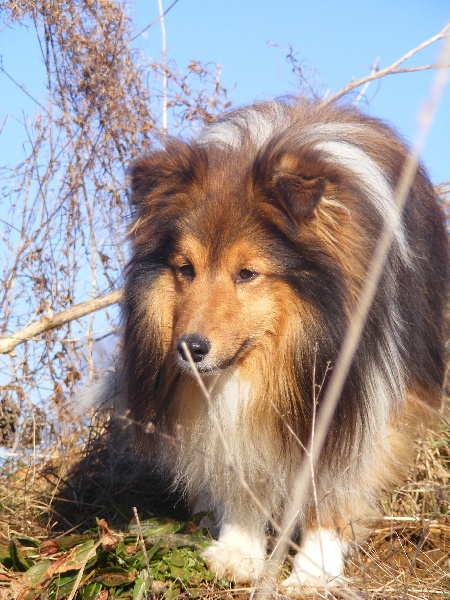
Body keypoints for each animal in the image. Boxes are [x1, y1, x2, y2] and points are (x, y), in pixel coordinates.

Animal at [122, 98, 448, 590]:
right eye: (185, 268)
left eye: (247, 273)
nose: (190, 349)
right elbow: (241, 465)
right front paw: (238, 552)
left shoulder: (356, 398)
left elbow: (335, 483)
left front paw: (314, 570)